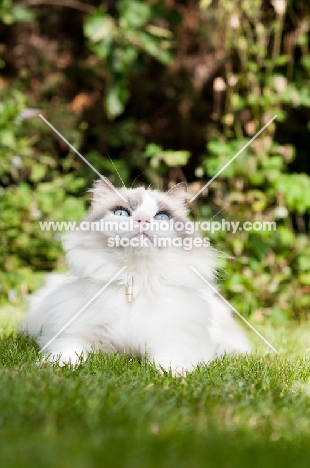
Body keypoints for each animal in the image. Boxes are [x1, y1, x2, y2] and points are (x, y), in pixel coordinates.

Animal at [21, 177, 249, 374]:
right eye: (122, 213)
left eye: (161, 217)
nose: (143, 219)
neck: (136, 281)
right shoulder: (72, 335)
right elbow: (67, 353)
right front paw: (55, 367)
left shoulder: (177, 339)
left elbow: (170, 360)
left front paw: (175, 374)